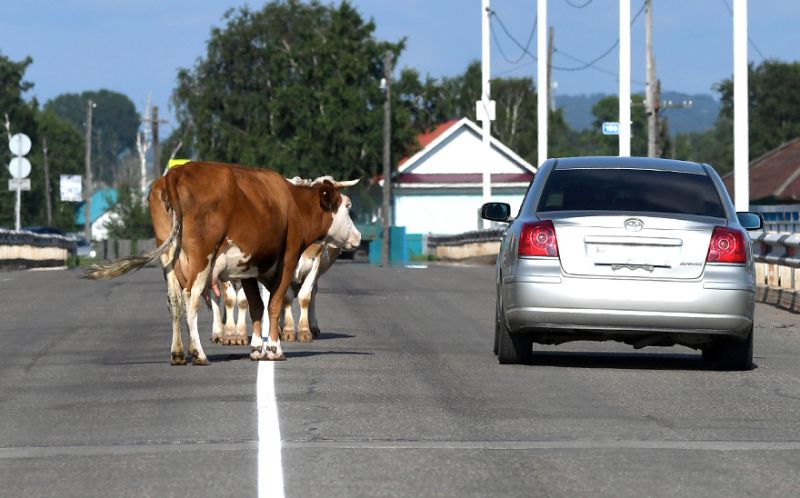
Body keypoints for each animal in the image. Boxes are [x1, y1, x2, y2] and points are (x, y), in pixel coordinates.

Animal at [83, 163, 360, 366]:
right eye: (347, 206)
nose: (357, 237)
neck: (291, 204)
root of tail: (177, 171)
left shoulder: (250, 268)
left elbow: (256, 306)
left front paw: (257, 348)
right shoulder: (287, 260)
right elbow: (274, 304)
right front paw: (274, 348)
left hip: (169, 257)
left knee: (175, 301)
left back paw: (178, 353)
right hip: (201, 258)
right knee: (191, 298)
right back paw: (199, 353)